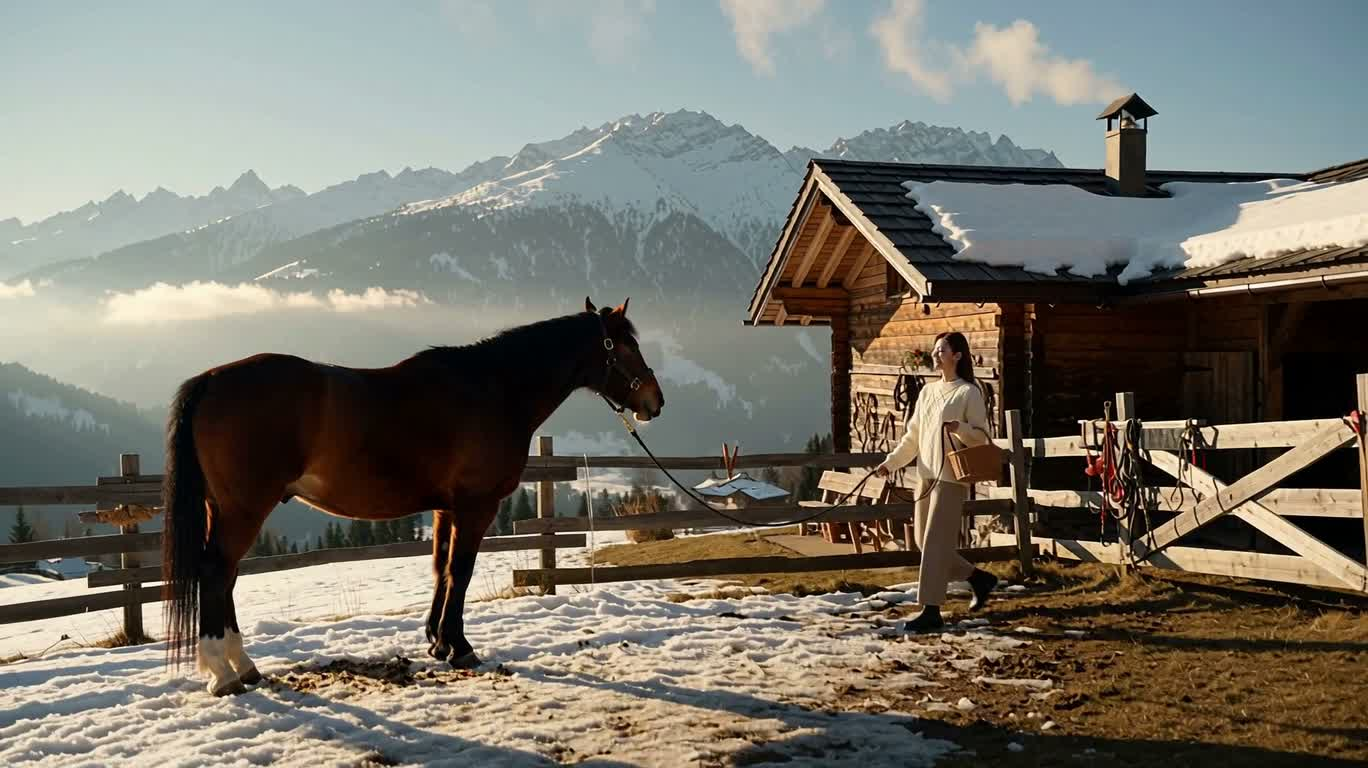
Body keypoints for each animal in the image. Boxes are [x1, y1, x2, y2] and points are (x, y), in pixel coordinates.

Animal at [159, 298, 665, 696]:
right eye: (627, 346)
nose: (655, 402)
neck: (494, 389)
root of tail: (211, 379)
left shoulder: (445, 508)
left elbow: (441, 569)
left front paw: (437, 642)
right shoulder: (476, 506)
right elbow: (461, 572)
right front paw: (460, 648)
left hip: (224, 509)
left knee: (224, 576)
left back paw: (243, 667)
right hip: (244, 509)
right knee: (216, 571)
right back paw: (225, 672)